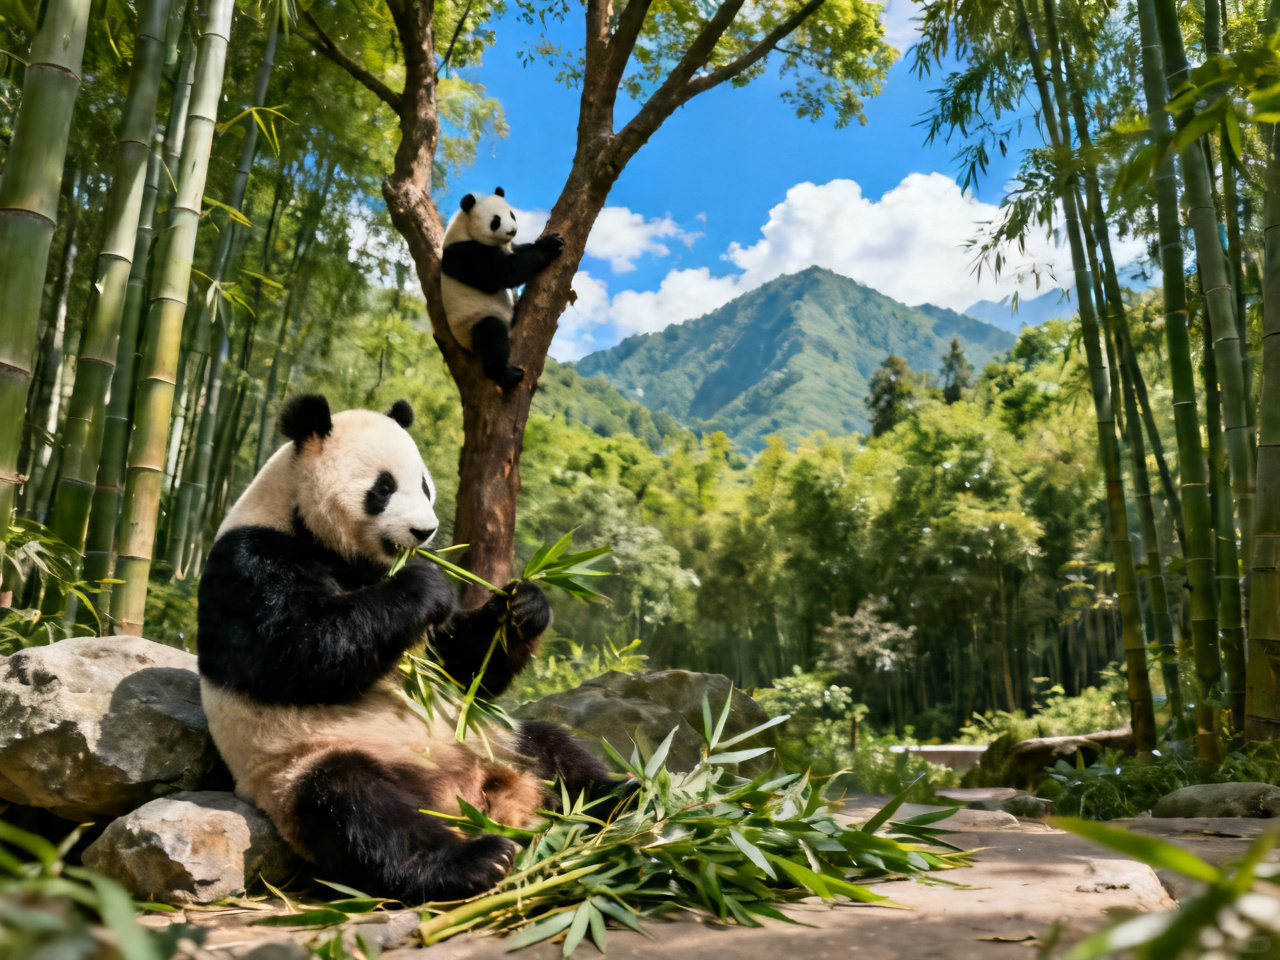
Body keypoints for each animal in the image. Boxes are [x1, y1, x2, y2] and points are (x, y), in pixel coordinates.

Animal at [196, 393, 615, 903]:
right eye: (383, 488)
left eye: (426, 486)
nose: (425, 532)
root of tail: (469, 797)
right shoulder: (252, 559)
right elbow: (298, 650)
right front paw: (425, 584)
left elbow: (457, 667)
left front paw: (522, 603)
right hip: (303, 769)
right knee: (356, 805)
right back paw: (476, 859)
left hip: (492, 738)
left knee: (554, 749)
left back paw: (630, 795)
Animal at [440, 187, 565, 391]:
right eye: (496, 221)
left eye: (512, 214)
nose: (512, 230)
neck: (464, 226)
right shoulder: (464, 254)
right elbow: (504, 272)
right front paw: (549, 246)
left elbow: (517, 252)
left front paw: (550, 239)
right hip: (471, 325)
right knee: (491, 335)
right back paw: (507, 375)